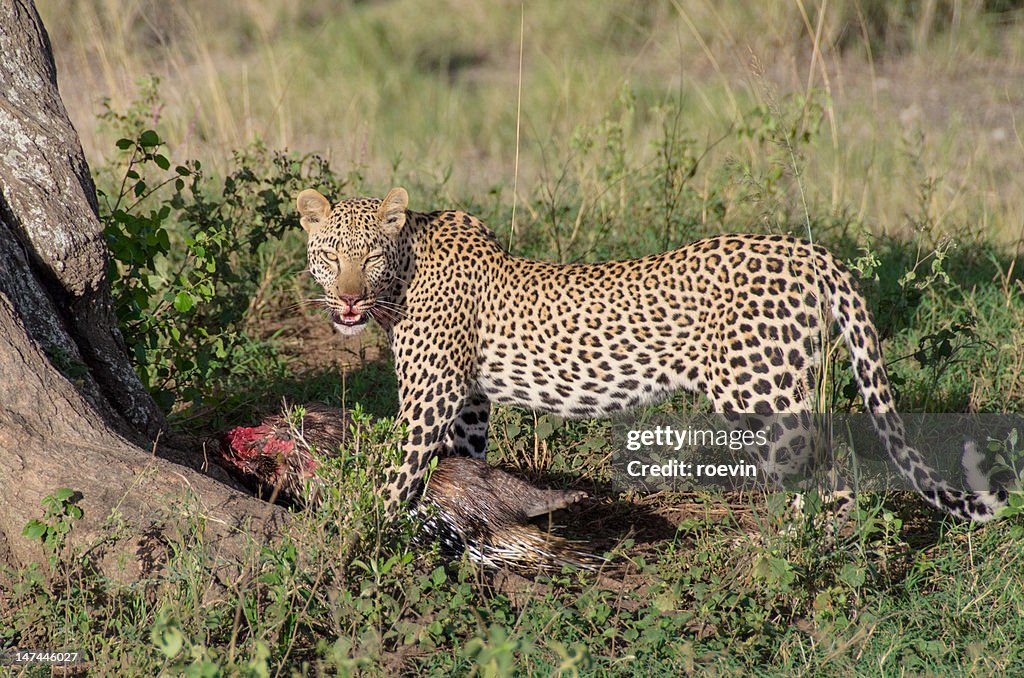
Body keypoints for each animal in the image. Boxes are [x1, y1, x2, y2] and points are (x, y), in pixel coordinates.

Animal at [296, 186, 1007, 524]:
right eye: (329, 254)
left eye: (370, 255)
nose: (349, 299)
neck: (403, 274)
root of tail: (810, 250)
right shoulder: (467, 404)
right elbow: (459, 468)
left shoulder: (430, 399)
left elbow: (394, 477)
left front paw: (359, 533)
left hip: (763, 393)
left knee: (832, 476)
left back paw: (806, 568)